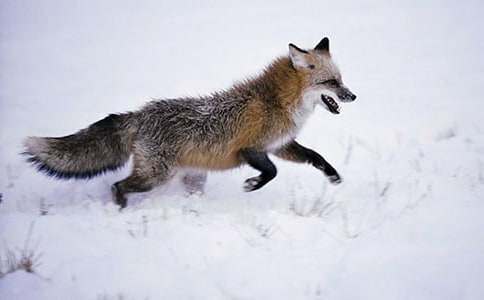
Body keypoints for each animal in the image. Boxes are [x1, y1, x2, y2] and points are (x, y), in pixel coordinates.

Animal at [23, 37, 356, 209]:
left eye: (341, 80)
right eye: (331, 82)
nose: (353, 95)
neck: (276, 101)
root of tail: (140, 113)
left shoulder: (280, 145)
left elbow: (316, 157)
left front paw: (335, 178)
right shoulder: (250, 149)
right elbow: (271, 172)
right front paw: (251, 184)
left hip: (191, 179)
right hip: (156, 176)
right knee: (118, 185)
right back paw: (120, 207)